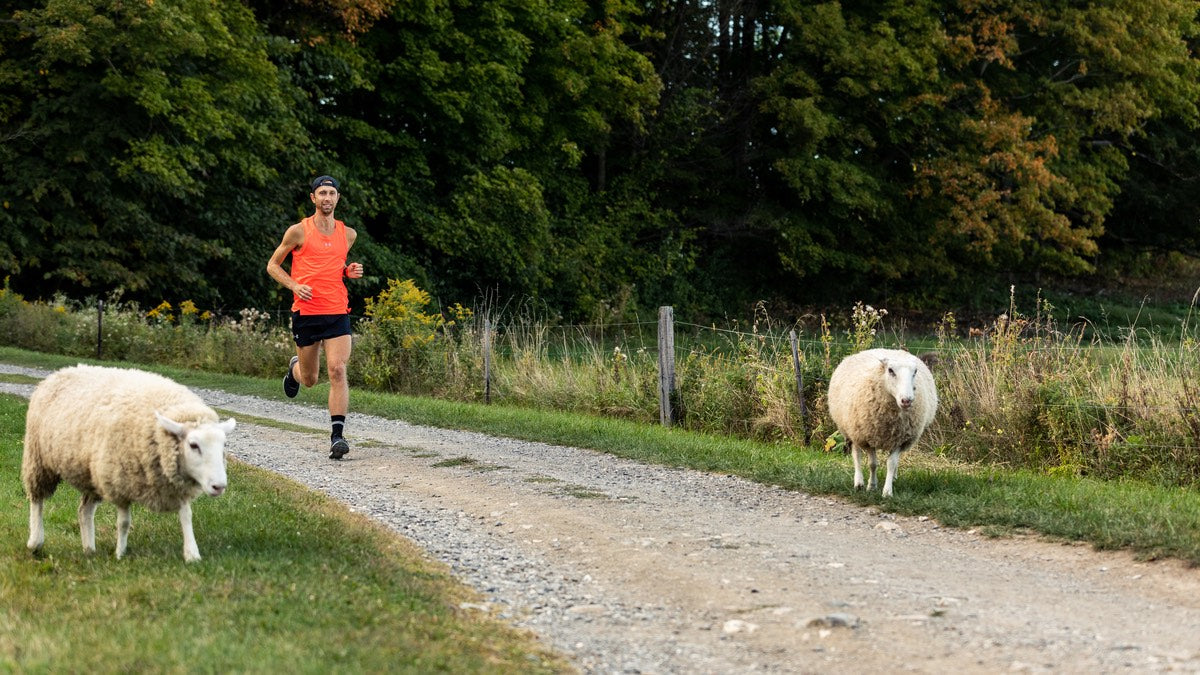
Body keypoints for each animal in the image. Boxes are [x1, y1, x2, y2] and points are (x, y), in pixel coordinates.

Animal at [21, 365, 234, 559]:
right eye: (193, 445)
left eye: (224, 445)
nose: (219, 486)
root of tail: (61, 371)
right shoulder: (119, 482)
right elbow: (124, 523)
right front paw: (120, 554)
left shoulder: (175, 485)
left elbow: (187, 517)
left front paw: (192, 554)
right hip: (38, 459)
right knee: (37, 500)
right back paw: (35, 542)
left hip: (91, 474)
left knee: (84, 511)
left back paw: (89, 549)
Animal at [825, 345, 936, 494]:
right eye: (890, 370)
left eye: (915, 372)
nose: (907, 400)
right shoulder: (867, 437)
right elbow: (872, 464)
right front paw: (872, 485)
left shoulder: (900, 439)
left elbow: (891, 464)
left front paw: (887, 490)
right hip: (852, 430)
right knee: (856, 454)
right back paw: (858, 482)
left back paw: (893, 477)